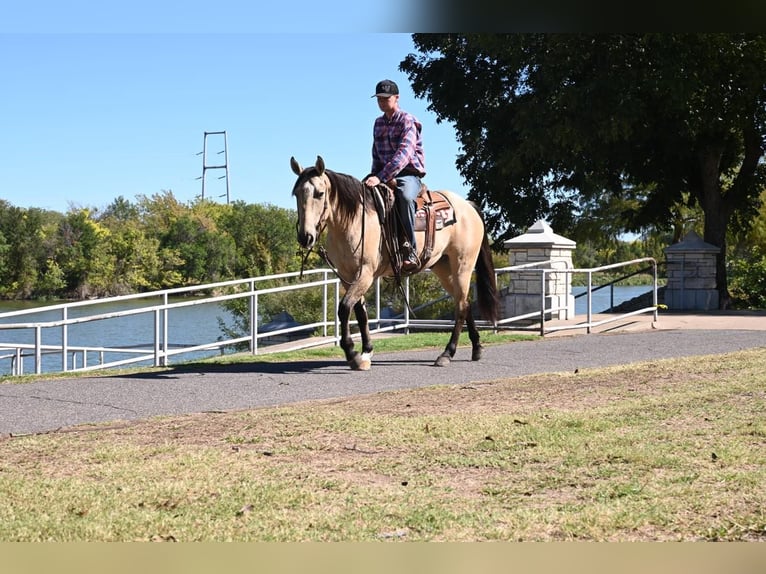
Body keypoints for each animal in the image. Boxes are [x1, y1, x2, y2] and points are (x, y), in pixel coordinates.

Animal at [292, 156, 500, 374]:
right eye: (297, 193)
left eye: (319, 193)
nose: (305, 237)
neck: (354, 221)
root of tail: (467, 206)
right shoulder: (347, 276)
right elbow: (361, 313)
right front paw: (366, 352)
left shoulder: (365, 273)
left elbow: (344, 308)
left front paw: (352, 354)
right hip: (443, 268)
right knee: (465, 303)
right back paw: (476, 348)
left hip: (463, 266)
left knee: (460, 306)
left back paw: (447, 354)